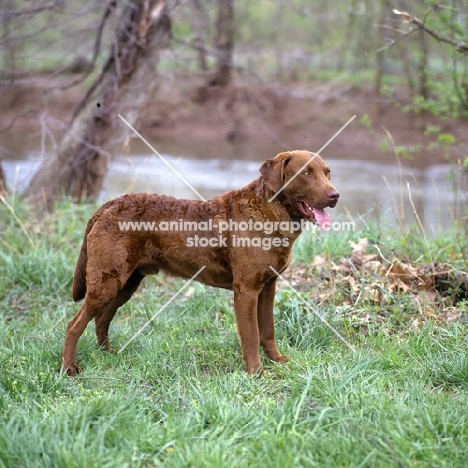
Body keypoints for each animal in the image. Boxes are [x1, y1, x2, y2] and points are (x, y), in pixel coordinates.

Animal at [62, 152, 338, 374]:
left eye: (327, 172)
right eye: (306, 173)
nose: (335, 195)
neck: (267, 214)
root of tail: (106, 206)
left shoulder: (268, 286)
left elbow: (268, 330)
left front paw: (277, 360)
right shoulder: (246, 290)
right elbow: (251, 335)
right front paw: (256, 372)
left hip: (126, 282)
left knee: (102, 318)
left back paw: (108, 354)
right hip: (107, 281)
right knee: (74, 324)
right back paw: (69, 368)